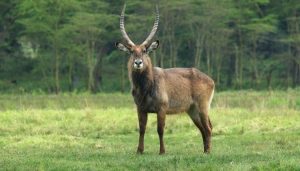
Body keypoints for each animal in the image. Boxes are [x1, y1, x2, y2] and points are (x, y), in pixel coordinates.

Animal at [115, 4, 216, 154]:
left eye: (144, 50)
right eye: (132, 51)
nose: (138, 63)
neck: (146, 87)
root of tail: (210, 80)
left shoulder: (162, 109)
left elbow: (160, 130)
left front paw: (162, 151)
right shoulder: (140, 109)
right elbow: (141, 129)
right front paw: (139, 151)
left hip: (202, 106)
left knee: (208, 128)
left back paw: (208, 152)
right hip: (192, 110)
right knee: (203, 129)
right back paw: (204, 151)